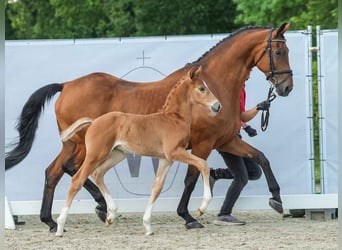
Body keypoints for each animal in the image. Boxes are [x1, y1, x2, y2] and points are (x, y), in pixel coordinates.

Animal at [5, 23, 292, 230]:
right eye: (279, 52)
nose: (286, 87)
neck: (214, 85)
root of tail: (66, 85)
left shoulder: (225, 140)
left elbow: (261, 158)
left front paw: (277, 200)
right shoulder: (203, 144)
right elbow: (192, 178)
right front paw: (189, 216)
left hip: (73, 144)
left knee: (54, 171)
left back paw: (52, 221)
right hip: (86, 146)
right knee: (72, 169)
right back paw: (98, 208)